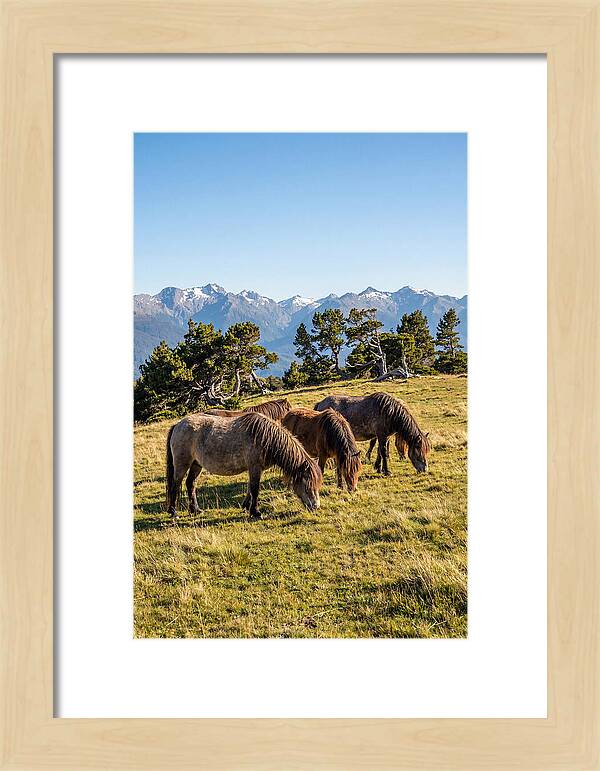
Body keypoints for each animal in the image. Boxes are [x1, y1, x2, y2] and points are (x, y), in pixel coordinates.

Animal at [166, 411, 322, 519]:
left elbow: (249, 488)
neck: (265, 438)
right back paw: (173, 512)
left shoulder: (254, 469)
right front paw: (256, 512)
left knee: (191, 484)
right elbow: (255, 489)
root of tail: (177, 425)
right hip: (182, 464)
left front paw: (247, 506)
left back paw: (195, 510)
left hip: (196, 464)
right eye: (307, 484)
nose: (315, 506)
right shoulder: (255, 467)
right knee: (175, 484)